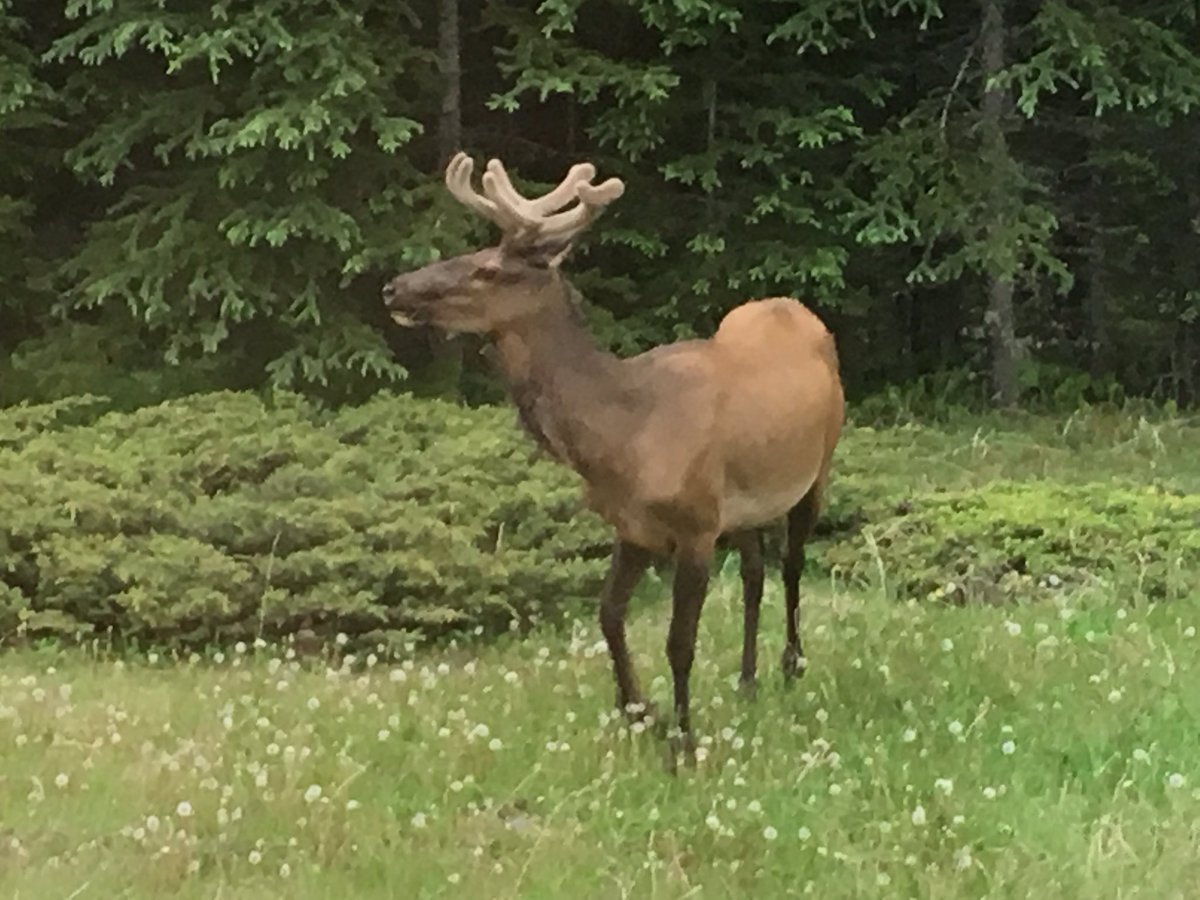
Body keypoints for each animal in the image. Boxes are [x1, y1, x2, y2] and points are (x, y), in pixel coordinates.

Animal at [382, 152, 845, 751]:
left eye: (488, 269)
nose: (393, 288)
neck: (622, 433)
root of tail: (799, 310)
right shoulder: (635, 526)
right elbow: (608, 614)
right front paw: (638, 712)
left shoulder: (695, 525)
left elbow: (679, 641)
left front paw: (683, 741)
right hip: (744, 503)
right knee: (754, 572)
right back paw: (747, 679)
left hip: (818, 467)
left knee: (791, 565)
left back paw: (791, 664)